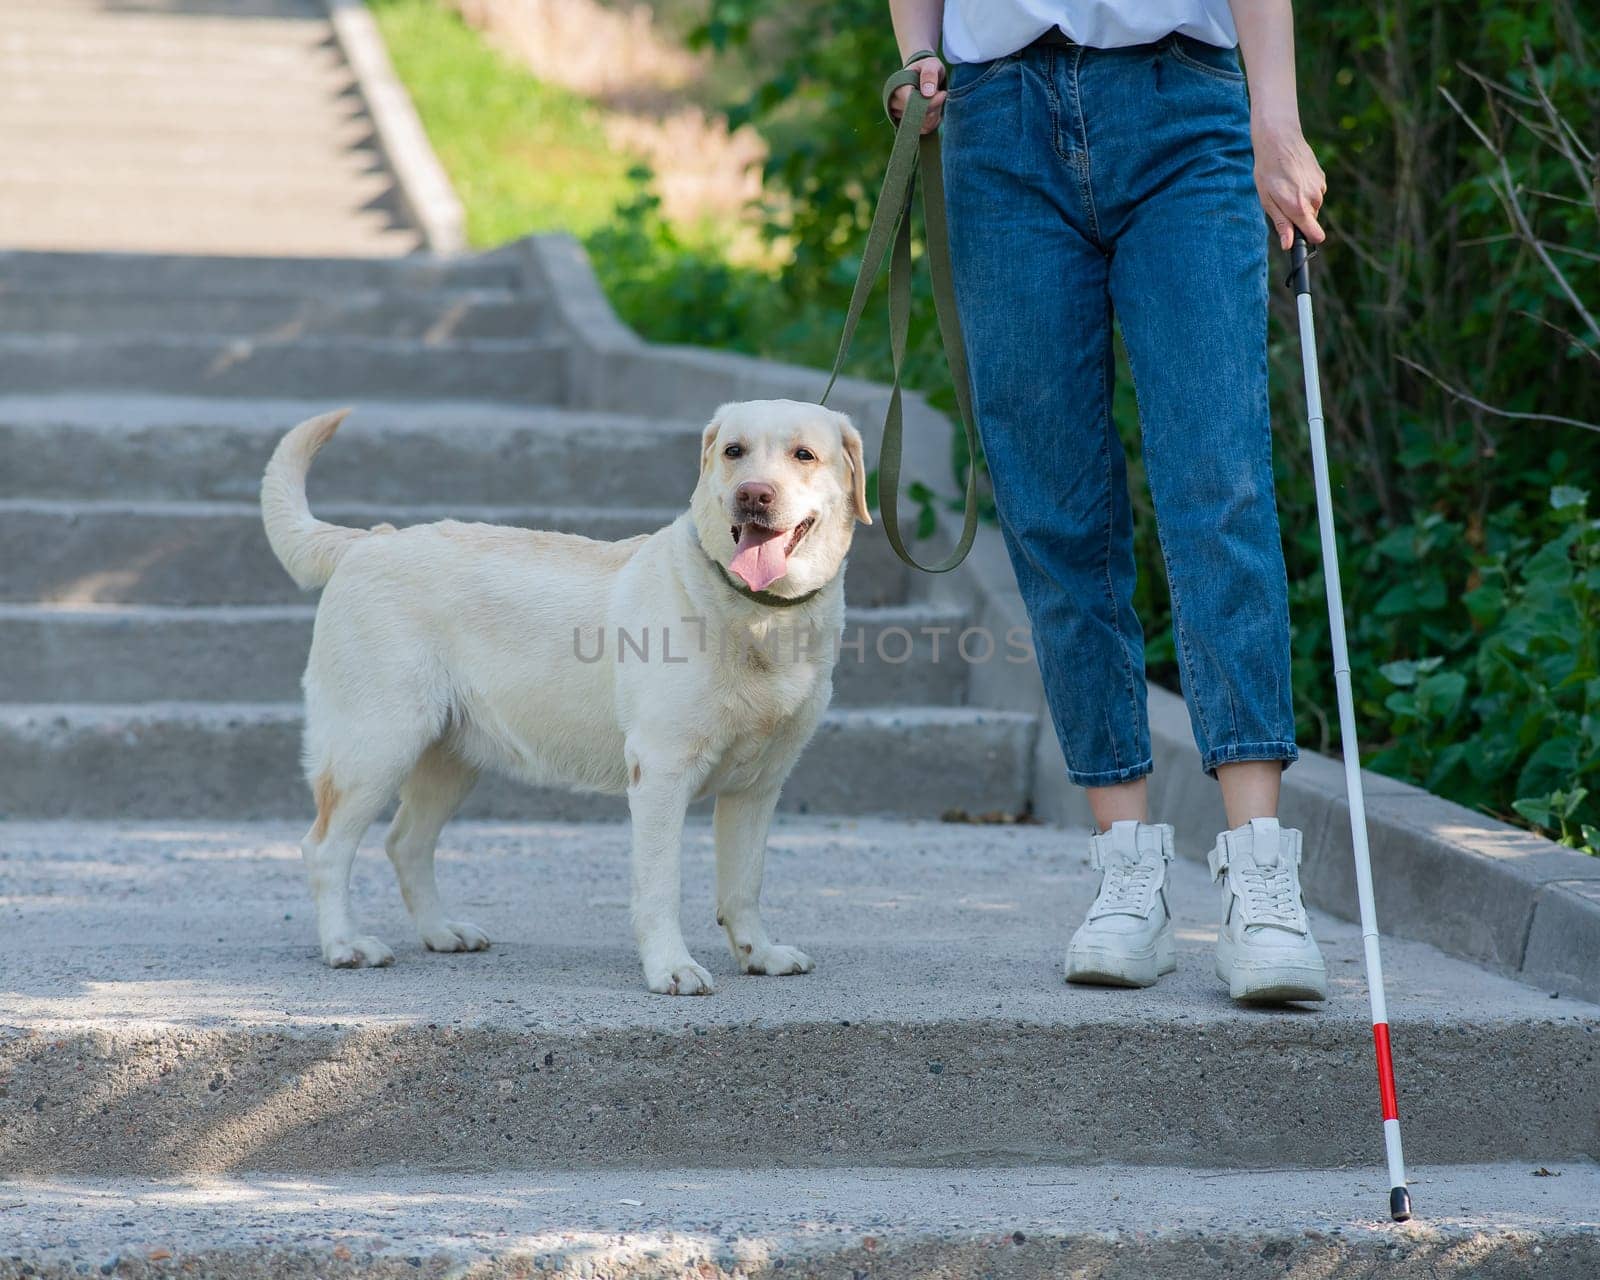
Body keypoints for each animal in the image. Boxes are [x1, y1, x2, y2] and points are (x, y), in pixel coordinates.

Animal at [259, 395, 876, 992]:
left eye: (803, 455)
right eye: (733, 451)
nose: (753, 495)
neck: (759, 618)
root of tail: (368, 540)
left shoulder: (760, 785)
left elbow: (744, 884)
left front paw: (760, 954)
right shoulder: (660, 772)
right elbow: (661, 886)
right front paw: (671, 969)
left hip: (449, 759)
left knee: (405, 842)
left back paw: (442, 932)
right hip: (376, 746)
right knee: (325, 847)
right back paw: (345, 945)